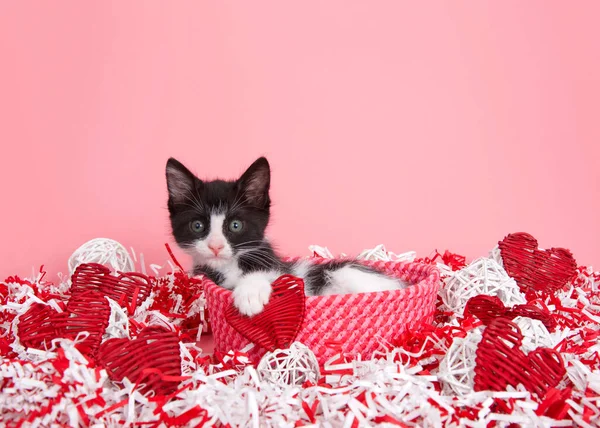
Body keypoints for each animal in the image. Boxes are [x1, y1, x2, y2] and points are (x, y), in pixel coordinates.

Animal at [164, 155, 408, 316]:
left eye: (235, 225)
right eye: (197, 226)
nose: (215, 246)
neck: (230, 267)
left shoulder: (283, 270)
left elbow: (273, 276)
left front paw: (250, 293)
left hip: (346, 272)